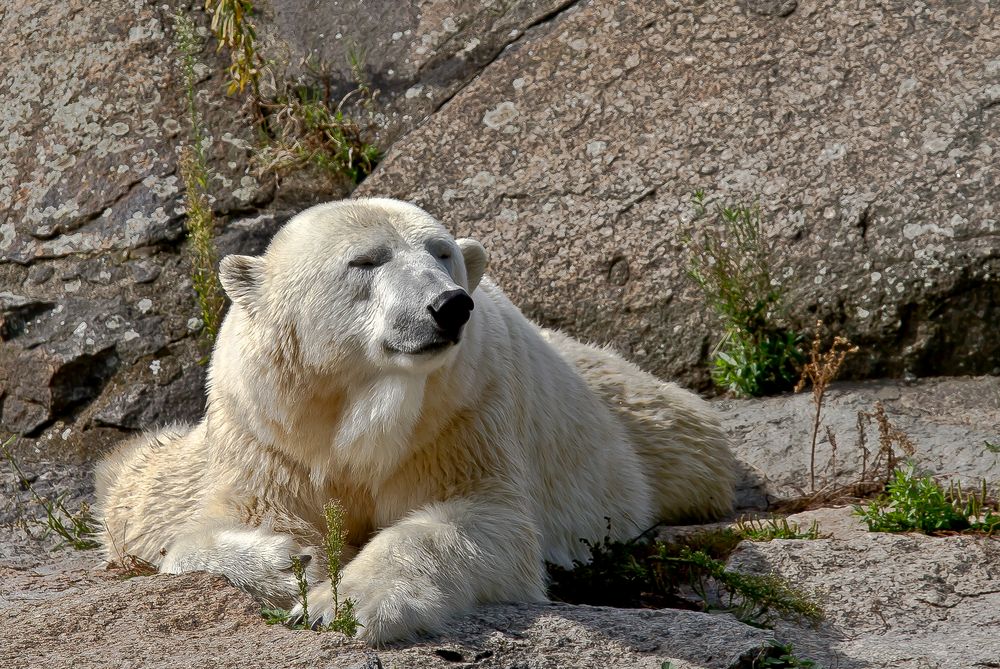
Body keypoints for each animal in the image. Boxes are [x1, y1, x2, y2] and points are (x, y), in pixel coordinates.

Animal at [94, 197, 736, 640]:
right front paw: (290, 563)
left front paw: (342, 603)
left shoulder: (462, 414)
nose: (450, 305)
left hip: (624, 418)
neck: (359, 404)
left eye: (441, 252)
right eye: (365, 261)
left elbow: (474, 520)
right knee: (135, 487)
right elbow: (215, 528)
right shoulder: (268, 433)